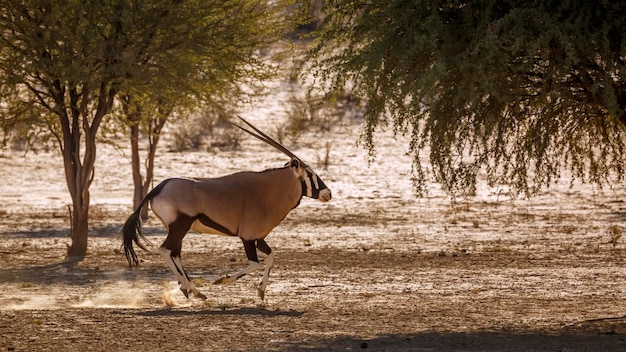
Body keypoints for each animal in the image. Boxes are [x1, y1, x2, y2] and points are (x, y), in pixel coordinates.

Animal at [119, 116, 330, 300]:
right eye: (310, 173)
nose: (328, 193)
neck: (267, 191)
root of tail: (158, 188)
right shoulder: (248, 237)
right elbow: (254, 263)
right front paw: (223, 280)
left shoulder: (258, 238)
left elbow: (271, 256)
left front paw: (261, 291)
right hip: (180, 225)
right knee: (165, 250)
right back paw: (189, 289)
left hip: (177, 229)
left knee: (175, 253)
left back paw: (194, 291)